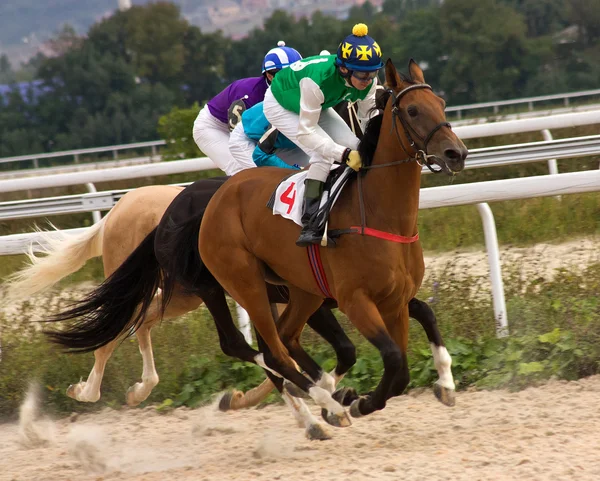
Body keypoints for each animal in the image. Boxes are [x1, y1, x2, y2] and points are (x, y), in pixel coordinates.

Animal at [199, 61, 466, 428]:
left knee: (284, 339)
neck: (381, 215)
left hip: (304, 292)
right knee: (273, 352)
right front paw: (357, 403)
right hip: (246, 284)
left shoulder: (395, 301)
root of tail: (217, 198)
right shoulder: (355, 301)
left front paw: (439, 385)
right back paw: (326, 409)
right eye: (412, 110)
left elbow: (403, 366)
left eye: (441, 103)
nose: (457, 153)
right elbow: (393, 358)